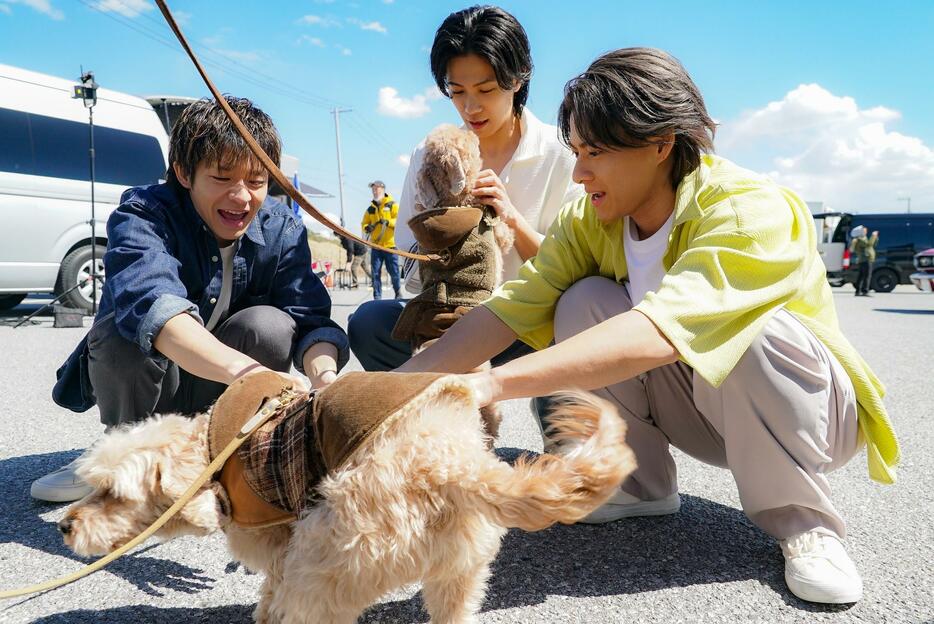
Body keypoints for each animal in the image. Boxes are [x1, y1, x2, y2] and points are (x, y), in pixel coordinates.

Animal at [58, 372, 636, 620]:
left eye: (110, 492)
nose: (64, 525)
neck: (213, 451)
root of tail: (443, 460)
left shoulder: (281, 551)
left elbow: (270, 594)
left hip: (325, 566)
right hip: (459, 572)